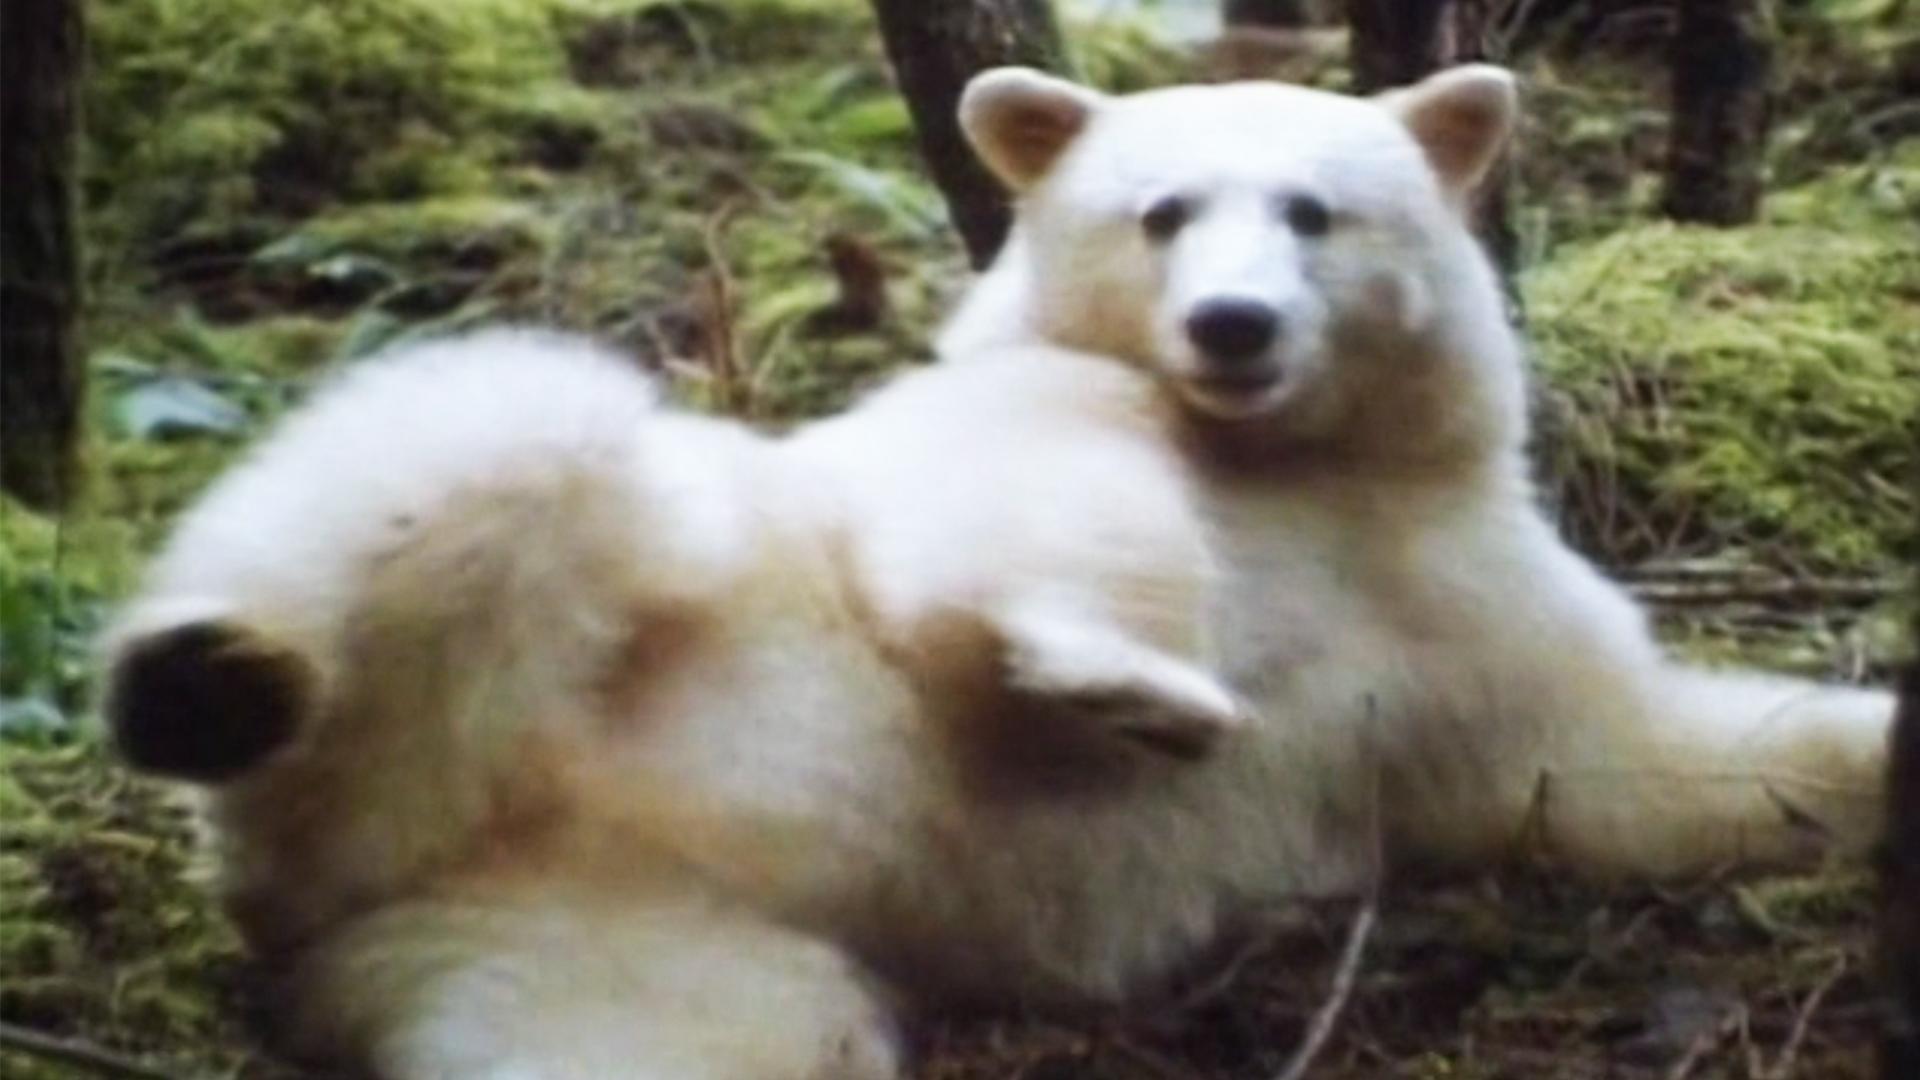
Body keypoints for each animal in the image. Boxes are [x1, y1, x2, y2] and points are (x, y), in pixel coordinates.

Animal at [97, 66, 1894, 1079]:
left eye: (1316, 213)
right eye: (1161, 212)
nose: (1231, 328)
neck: (1307, 474)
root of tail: (384, 842)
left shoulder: (1458, 609)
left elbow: (1623, 759)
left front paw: (1881, 751)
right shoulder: (1004, 418)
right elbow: (1047, 512)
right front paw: (1134, 682)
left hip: (580, 934)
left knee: (710, 1042)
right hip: (619, 586)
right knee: (497, 441)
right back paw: (206, 680)